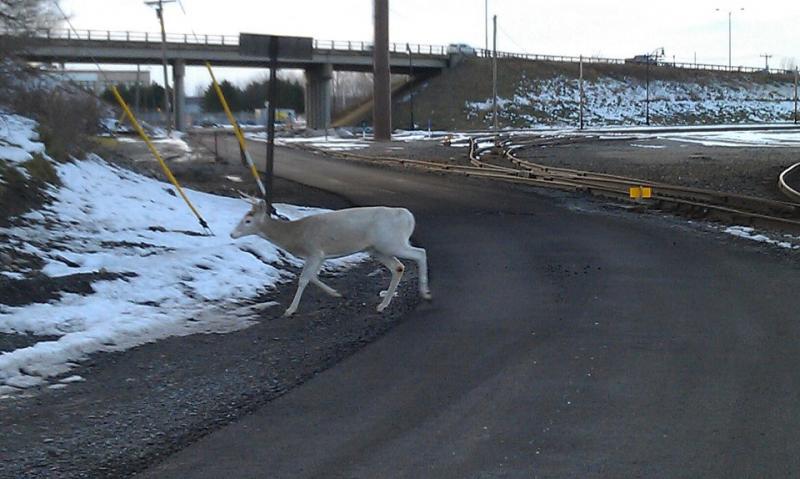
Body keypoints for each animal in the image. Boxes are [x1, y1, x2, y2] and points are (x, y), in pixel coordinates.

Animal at [230, 199, 431, 317]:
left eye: (248, 220)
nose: (232, 234)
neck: (295, 236)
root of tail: (408, 217)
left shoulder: (314, 251)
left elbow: (303, 279)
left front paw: (290, 310)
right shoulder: (321, 256)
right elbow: (313, 276)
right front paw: (336, 293)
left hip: (391, 242)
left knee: (420, 253)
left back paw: (424, 292)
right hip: (377, 249)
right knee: (398, 267)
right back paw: (383, 304)